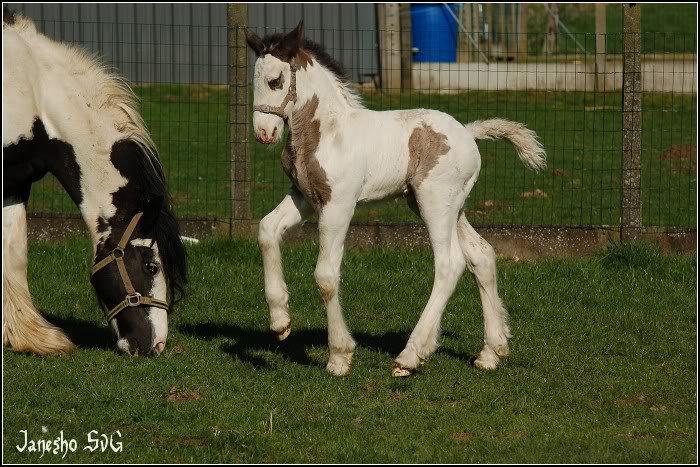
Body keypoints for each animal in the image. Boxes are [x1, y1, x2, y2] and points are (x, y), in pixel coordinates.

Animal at [2, 12, 189, 356]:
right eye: (151, 267)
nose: (156, 345)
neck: (30, 93)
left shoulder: (14, 184)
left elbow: (15, 256)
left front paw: (33, 338)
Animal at [246, 22, 548, 378]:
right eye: (253, 82)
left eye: (275, 81)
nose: (264, 133)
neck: (328, 132)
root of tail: (468, 132)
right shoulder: (304, 197)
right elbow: (266, 230)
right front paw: (280, 322)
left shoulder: (338, 205)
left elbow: (326, 277)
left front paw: (339, 357)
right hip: (445, 206)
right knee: (481, 255)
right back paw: (490, 352)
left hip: (435, 203)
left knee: (450, 263)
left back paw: (410, 355)